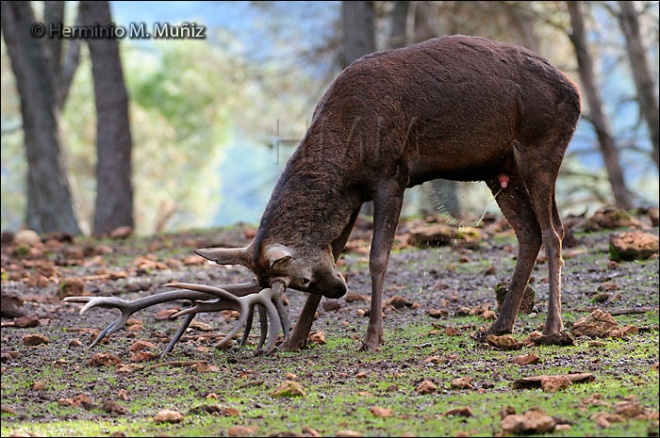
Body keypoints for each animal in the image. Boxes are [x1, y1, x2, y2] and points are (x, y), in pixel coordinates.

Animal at [65, 35, 576, 356]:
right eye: (301, 285)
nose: (340, 290)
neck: (347, 150)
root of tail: (575, 94)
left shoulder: (391, 176)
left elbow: (378, 258)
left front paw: (371, 338)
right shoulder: (352, 195)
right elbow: (337, 245)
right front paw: (295, 340)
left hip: (540, 149)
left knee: (554, 231)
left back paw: (553, 330)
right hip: (497, 170)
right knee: (529, 233)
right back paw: (498, 326)